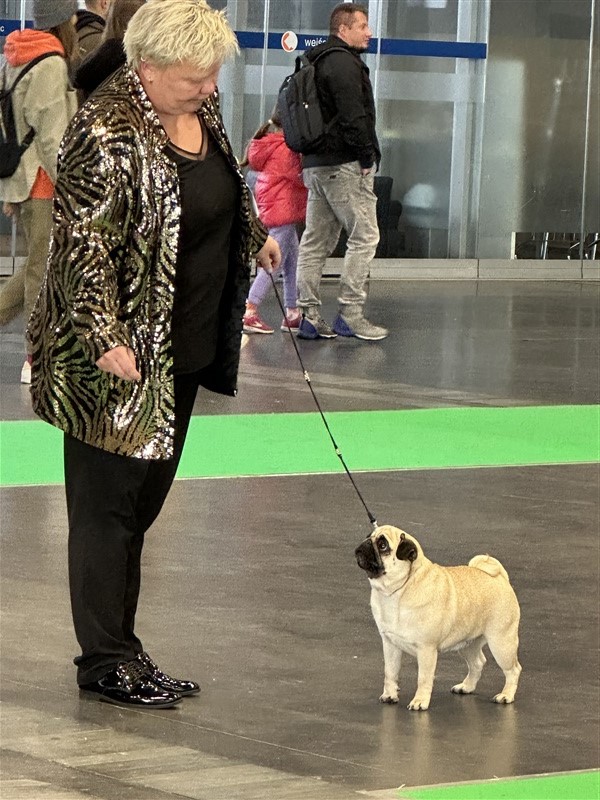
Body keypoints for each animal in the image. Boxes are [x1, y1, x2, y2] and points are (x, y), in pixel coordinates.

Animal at [355, 525, 521, 710]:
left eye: (382, 545)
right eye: (368, 536)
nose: (365, 542)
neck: (401, 589)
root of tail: (500, 578)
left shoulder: (426, 649)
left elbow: (423, 678)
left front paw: (420, 701)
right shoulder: (390, 644)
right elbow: (390, 672)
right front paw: (390, 695)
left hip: (501, 643)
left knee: (513, 670)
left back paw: (506, 696)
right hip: (467, 643)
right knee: (477, 663)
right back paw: (466, 687)